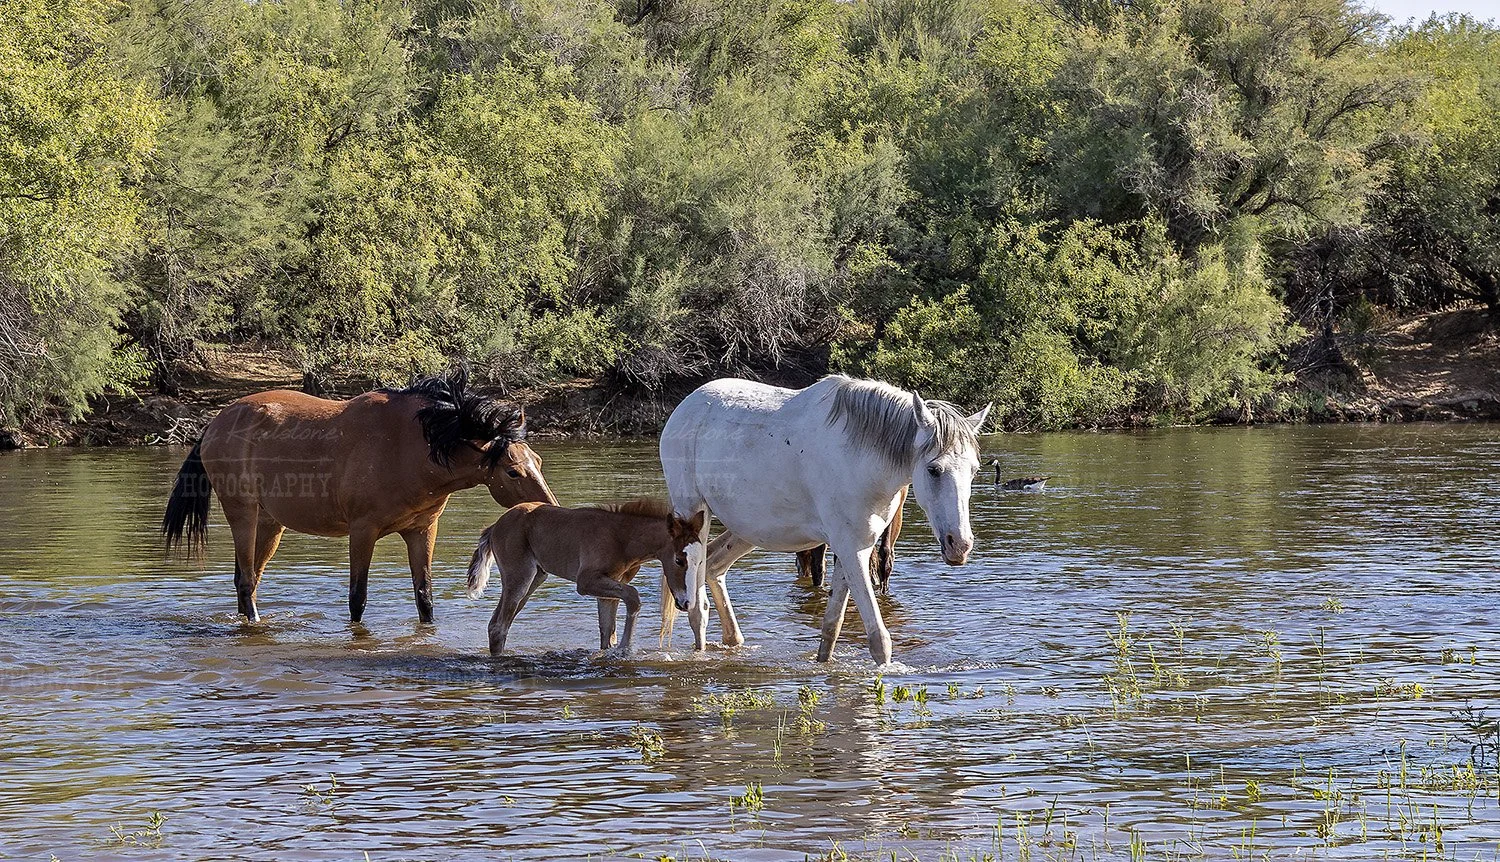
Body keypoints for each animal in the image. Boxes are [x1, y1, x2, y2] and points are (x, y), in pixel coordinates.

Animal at [161, 367, 557, 624]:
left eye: (537, 461)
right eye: (512, 471)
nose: (550, 510)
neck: (409, 447)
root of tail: (214, 424)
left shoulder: (422, 530)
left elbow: (424, 598)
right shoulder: (362, 531)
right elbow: (357, 598)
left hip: (271, 523)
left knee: (249, 580)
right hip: (242, 512)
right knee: (245, 581)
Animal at [464, 500, 703, 655]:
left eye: (699, 562)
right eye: (679, 560)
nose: (686, 603)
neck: (622, 538)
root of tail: (495, 525)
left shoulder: (611, 586)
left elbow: (607, 633)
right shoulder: (586, 581)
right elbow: (633, 597)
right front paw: (626, 648)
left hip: (535, 578)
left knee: (495, 624)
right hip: (520, 577)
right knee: (499, 627)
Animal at [659, 374, 989, 664]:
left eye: (974, 470)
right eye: (934, 469)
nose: (960, 545)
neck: (860, 458)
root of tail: (685, 408)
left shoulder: (853, 547)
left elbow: (832, 627)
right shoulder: (851, 549)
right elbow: (878, 639)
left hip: (749, 530)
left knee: (715, 567)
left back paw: (734, 642)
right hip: (695, 516)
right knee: (697, 608)